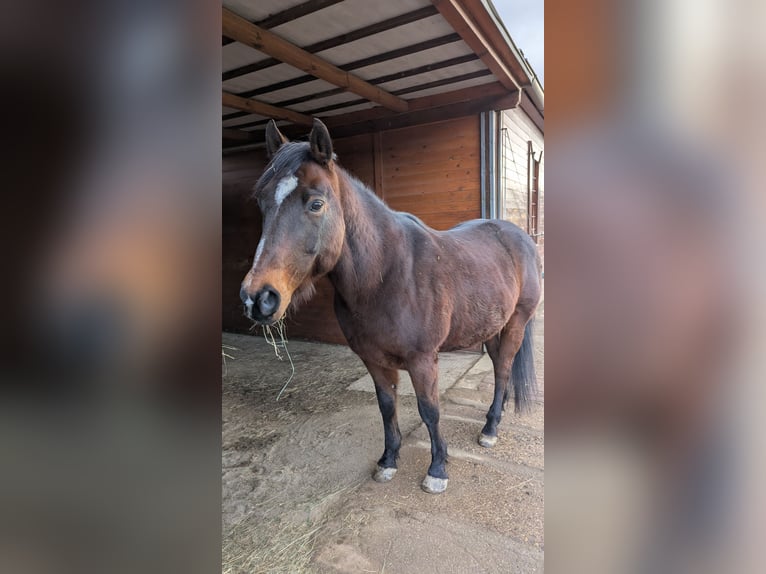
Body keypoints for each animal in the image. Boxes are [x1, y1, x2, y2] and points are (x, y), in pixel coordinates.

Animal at [240, 118, 542, 494]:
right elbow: (387, 407)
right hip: (490, 326)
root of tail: (520, 237)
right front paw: (388, 460)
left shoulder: (423, 359)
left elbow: (429, 410)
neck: (386, 276)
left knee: (502, 370)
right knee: (501, 366)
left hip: (516, 322)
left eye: (316, 203)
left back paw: (490, 429)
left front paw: (437, 469)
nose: (258, 298)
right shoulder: (373, 358)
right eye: (261, 202)